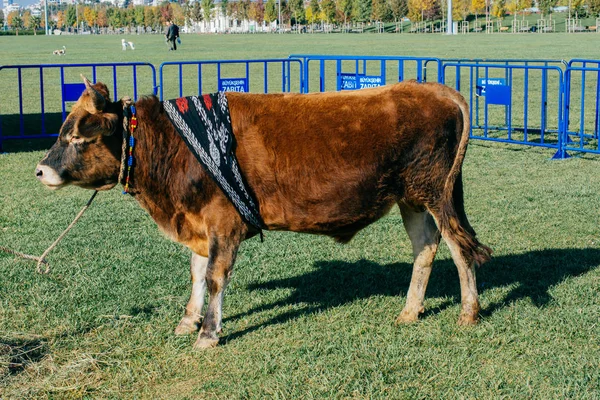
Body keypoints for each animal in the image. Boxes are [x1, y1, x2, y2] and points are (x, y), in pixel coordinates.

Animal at [35, 76, 490, 348]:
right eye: (64, 132)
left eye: (77, 138)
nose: (40, 170)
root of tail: (435, 88)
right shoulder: (199, 224)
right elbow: (196, 273)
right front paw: (188, 320)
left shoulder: (222, 223)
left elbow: (215, 278)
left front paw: (208, 334)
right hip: (411, 199)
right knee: (427, 247)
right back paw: (410, 312)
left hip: (436, 193)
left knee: (460, 249)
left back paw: (468, 313)